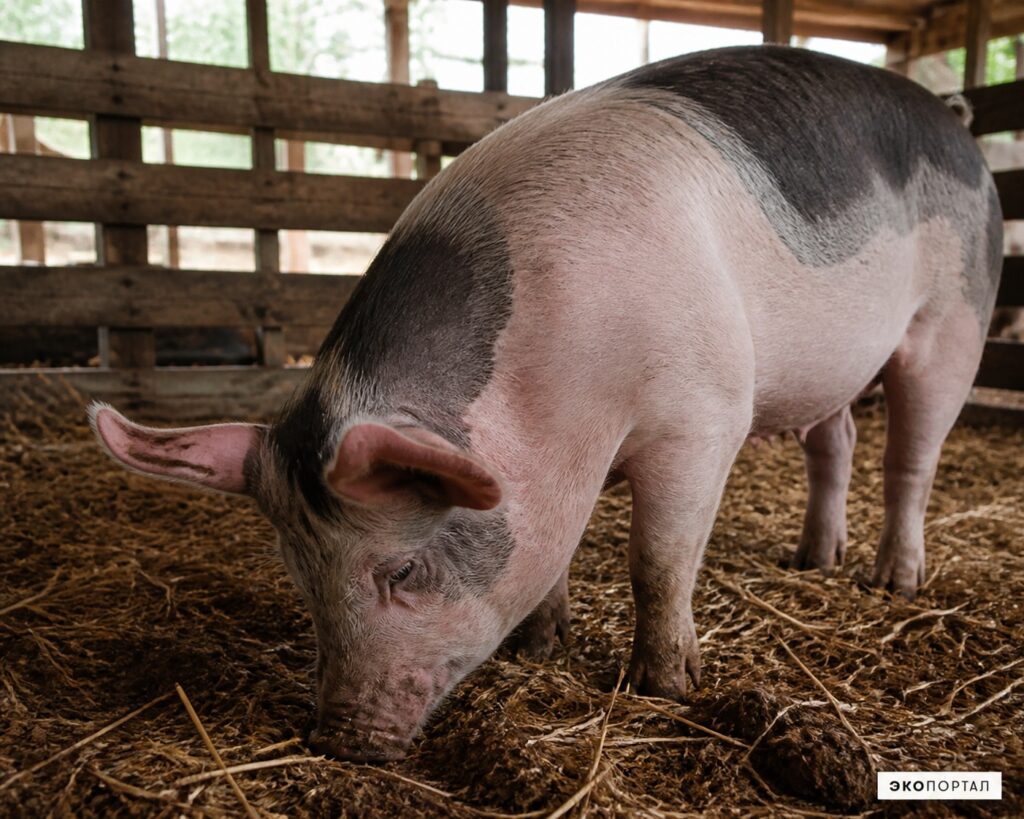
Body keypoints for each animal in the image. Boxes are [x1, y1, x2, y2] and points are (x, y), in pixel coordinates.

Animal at [90, 46, 1002, 761]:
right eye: (299, 573)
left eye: (403, 570)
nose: (339, 741)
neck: (560, 390)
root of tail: (954, 117)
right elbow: (554, 551)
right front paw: (539, 646)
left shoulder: (705, 414)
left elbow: (657, 559)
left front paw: (665, 686)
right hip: (830, 367)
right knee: (836, 434)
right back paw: (815, 561)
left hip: (955, 318)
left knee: (912, 453)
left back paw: (893, 581)